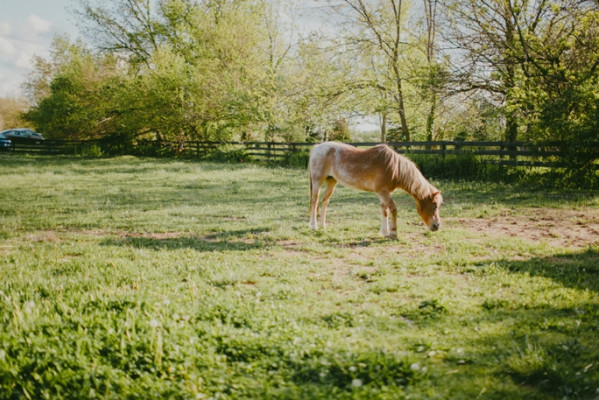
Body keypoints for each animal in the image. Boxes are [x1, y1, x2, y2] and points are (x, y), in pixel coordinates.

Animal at [310, 142, 446, 238]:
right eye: (435, 205)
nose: (437, 226)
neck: (392, 167)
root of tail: (316, 148)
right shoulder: (383, 191)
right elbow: (393, 209)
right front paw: (393, 233)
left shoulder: (384, 192)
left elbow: (384, 210)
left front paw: (384, 232)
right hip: (317, 181)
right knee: (314, 201)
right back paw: (313, 226)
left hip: (331, 181)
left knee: (324, 201)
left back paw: (322, 225)